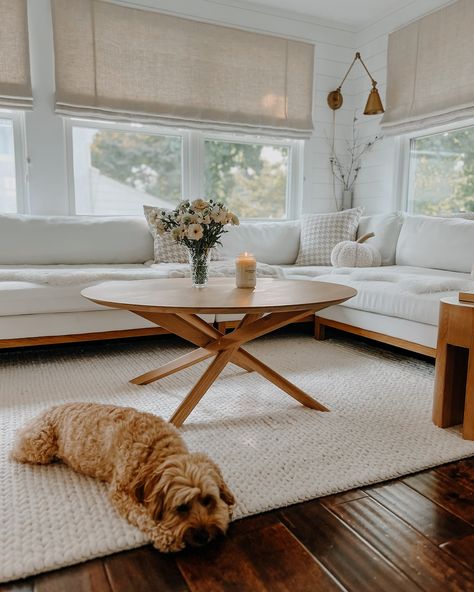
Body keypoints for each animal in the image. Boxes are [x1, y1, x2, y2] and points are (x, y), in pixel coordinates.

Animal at [12, 400, 237, 552]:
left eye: (208, 500)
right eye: (182, 507)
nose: (204, 536)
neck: (155, 450)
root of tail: (46, 409)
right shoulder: (121, 492)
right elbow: (143, 515)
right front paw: (165, 536)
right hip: (40, 445)